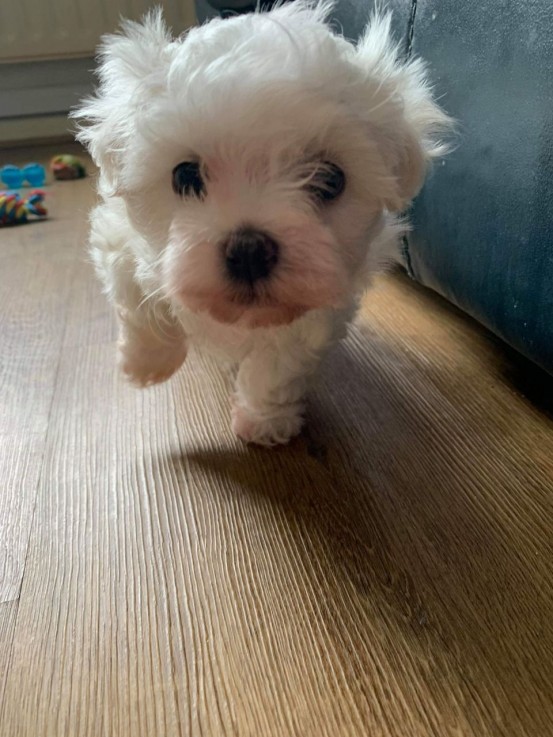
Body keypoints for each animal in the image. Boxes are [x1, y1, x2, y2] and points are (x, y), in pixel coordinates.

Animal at [75, 1, 450, 442]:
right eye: (185, 176)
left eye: (331, 180)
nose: (249, 250)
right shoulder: (119, 240)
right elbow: (137, 303)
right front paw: (147, 364)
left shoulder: (316, 306)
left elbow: (278, 362)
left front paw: (264, 421)